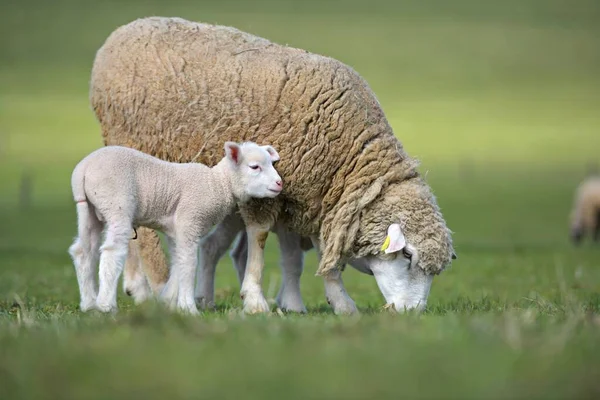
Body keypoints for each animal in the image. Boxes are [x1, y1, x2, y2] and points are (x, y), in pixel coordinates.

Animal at [67, 142, 282, 314]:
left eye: (271, 164)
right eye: (254, 167)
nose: (280, 183)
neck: (217, 184)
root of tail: (83, 169)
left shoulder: (177, 229)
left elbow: (179, 260)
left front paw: (168, 302)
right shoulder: (189, 220)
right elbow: (189, 262)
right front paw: (188, 308)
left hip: (89, 209)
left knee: (83, 251)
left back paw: (88, 304)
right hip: (116, 203)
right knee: (112, 252)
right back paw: (106, 305)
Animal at [89, 17, 458, 314]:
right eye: (407, 255)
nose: (412, 314)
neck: (349, 159)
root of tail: (121, 34)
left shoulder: (315, 199)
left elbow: (312, 258)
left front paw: (336, 303)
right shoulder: (272, 195)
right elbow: (261, 240)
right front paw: (255, 300)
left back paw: (152, 289)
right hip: (138, 148)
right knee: (145, 236)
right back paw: (155, 287)